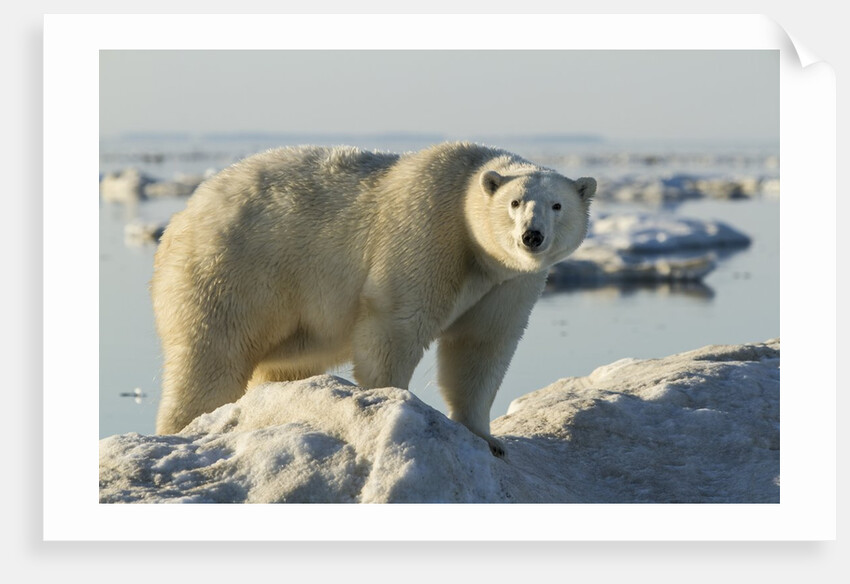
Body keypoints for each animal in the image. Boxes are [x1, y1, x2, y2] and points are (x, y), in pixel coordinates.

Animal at [152, 142, 595, 456]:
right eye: (514, 202)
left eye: (557, 205)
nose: (532, 236)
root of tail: (182, 217)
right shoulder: (428, 229)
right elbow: (396, 325)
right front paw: (392, 405)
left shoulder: (509, 282)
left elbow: (481, 346)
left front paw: (488, 439)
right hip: (234, 270)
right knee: (212, 355)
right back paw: (184, 429)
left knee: (282, 364)